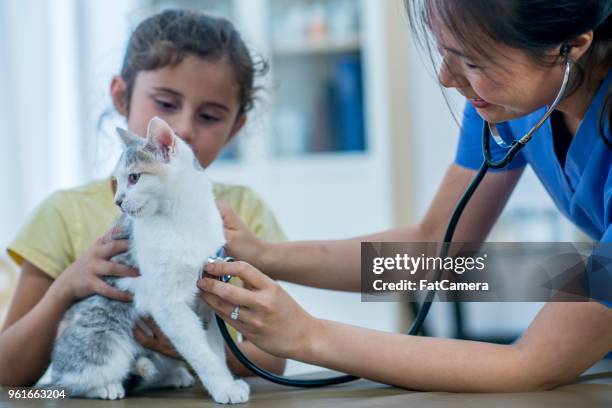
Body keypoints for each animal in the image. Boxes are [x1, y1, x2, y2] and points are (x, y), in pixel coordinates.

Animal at [47, 116, 249, 404]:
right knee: (71, 382)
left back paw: (172, 376)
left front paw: (226, 382)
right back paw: (106, 387)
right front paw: (223, 387)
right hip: (106, 339)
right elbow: (201, 353)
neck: (182, 219)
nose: (118, 201)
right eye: (117, 180)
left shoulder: (207, 302)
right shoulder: (168, 304)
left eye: (134, 177)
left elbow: (215, 350)